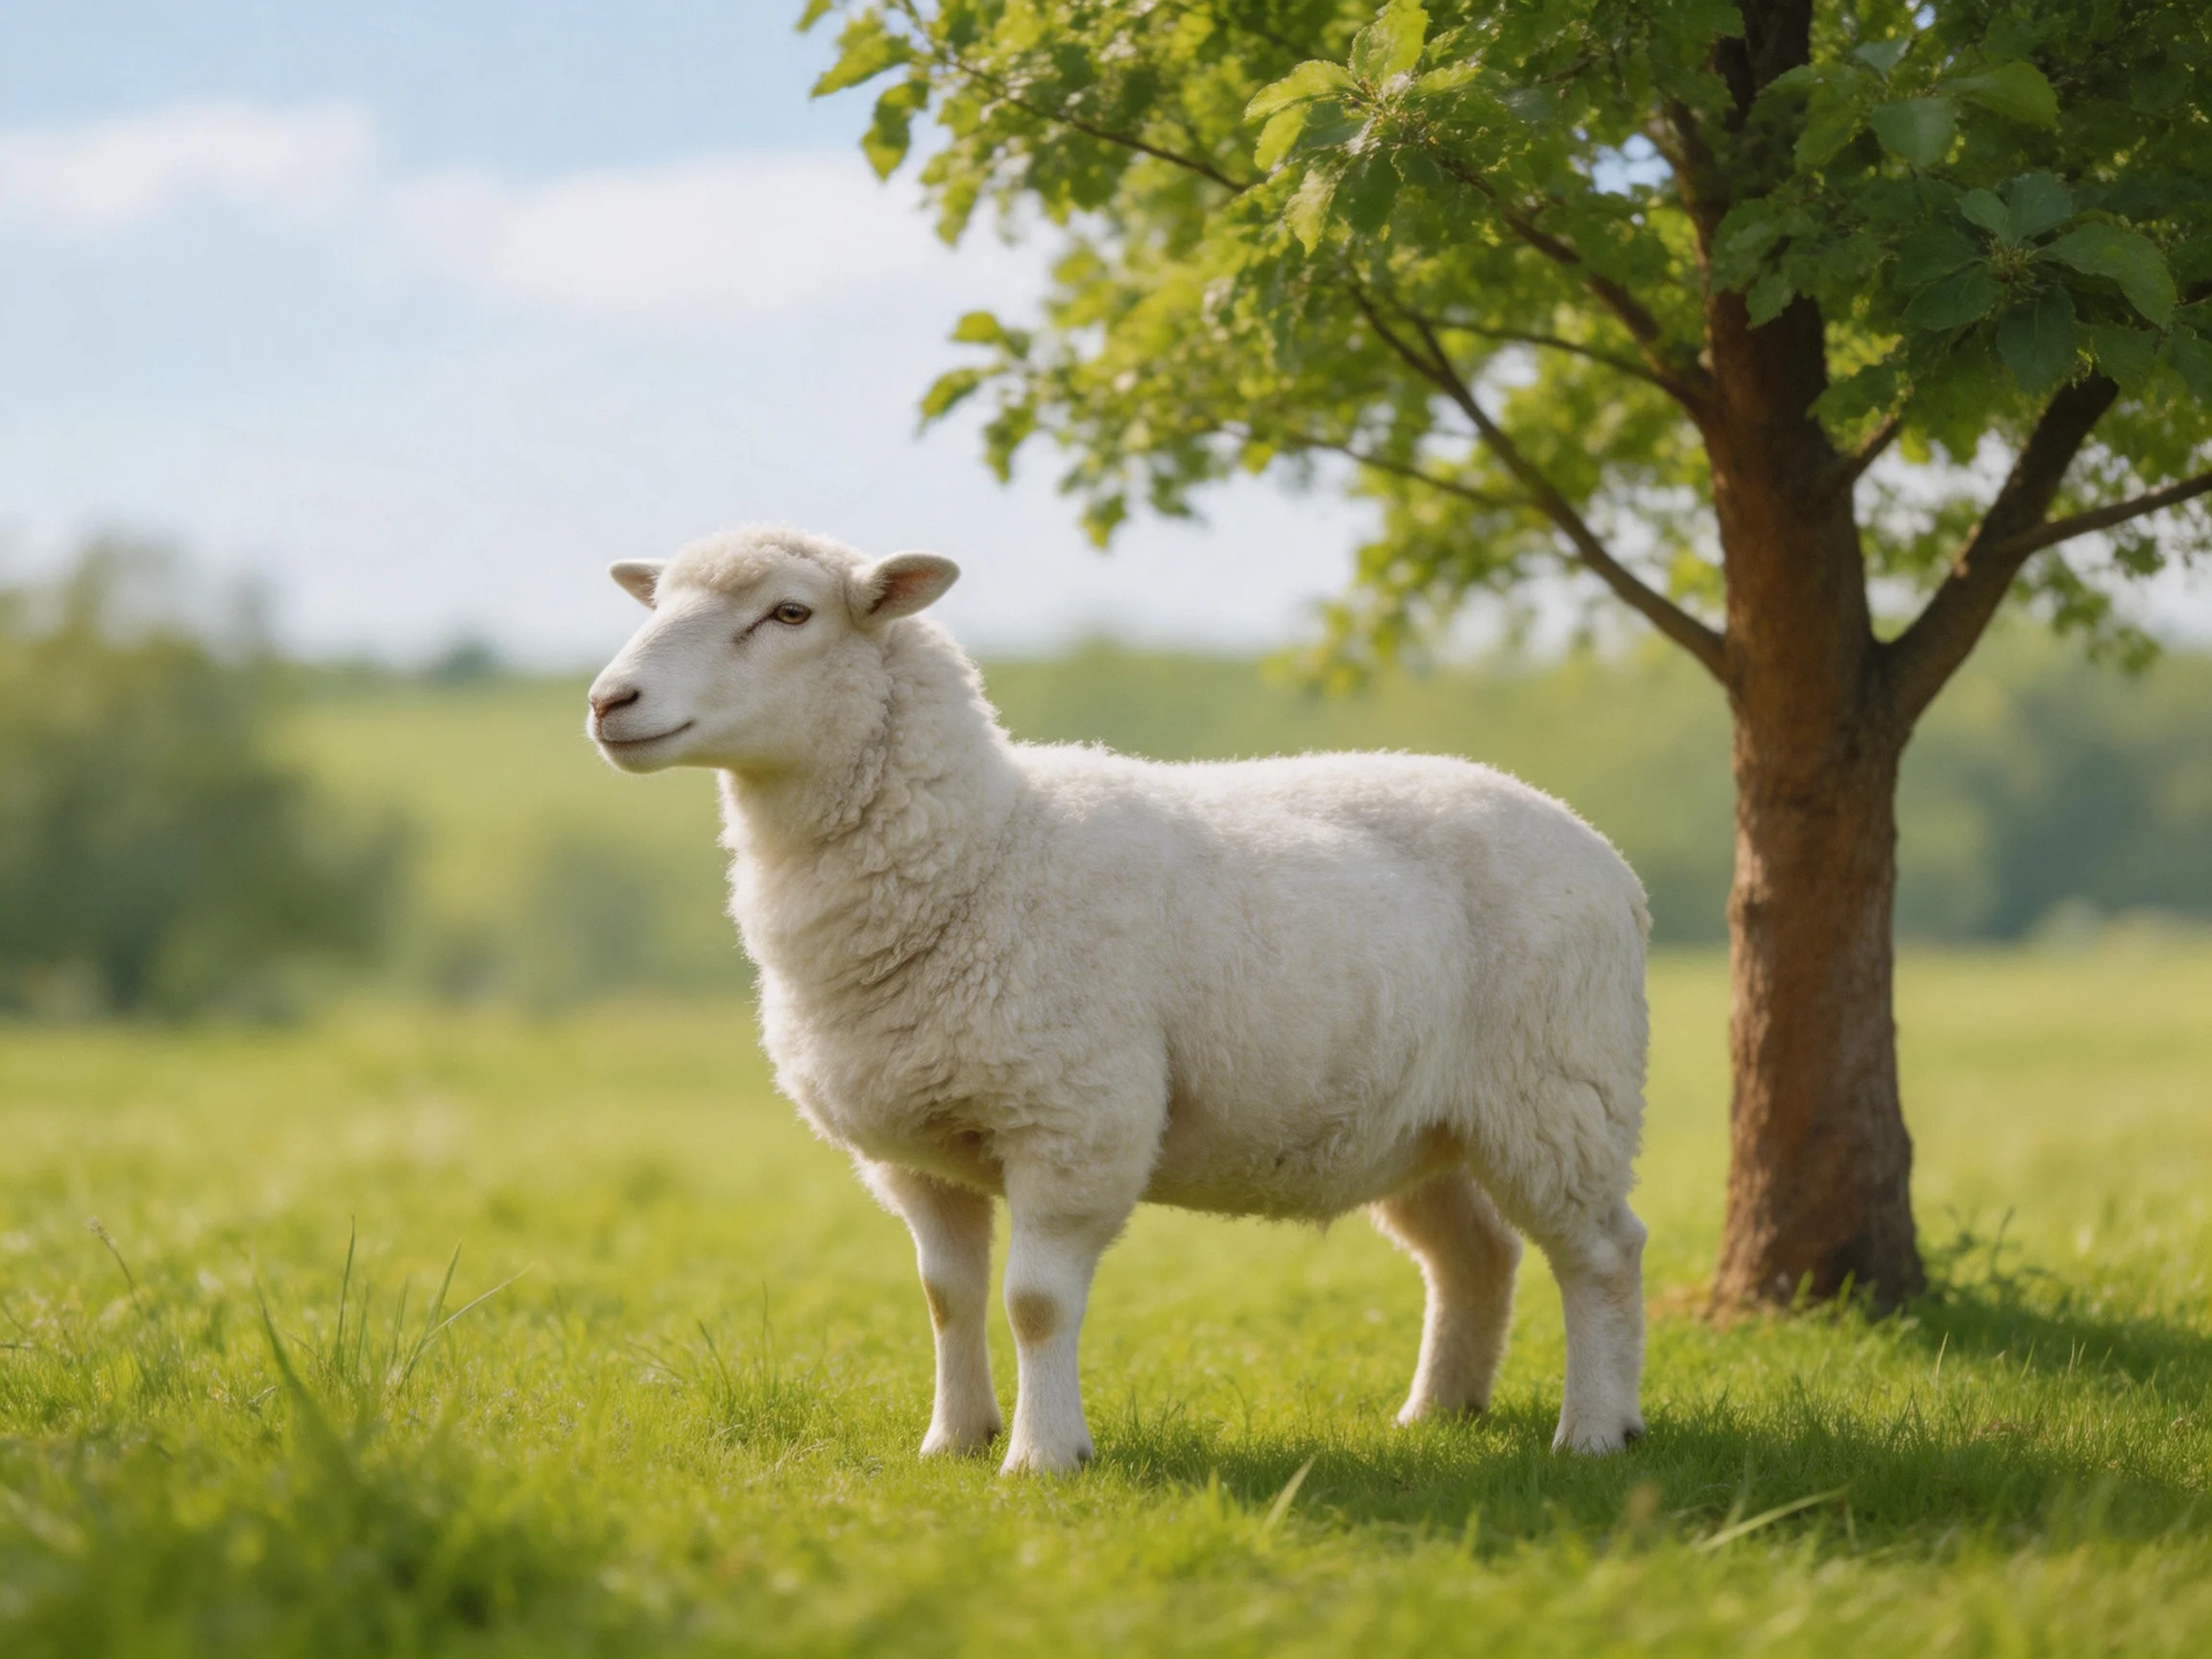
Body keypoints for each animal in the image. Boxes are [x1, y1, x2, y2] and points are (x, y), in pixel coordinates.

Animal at [588, 524, 1651, 1474]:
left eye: (790, 613)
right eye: (657, 602)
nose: (607, 701)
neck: (984, 847)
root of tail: (1601, 850)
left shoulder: (1074, 1119)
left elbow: (1035, 1303)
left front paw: (1043, 1456)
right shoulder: (916, 1149)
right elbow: (945, 1295)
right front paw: (953, 1441)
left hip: (1560, 1087)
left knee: (1601, 1252)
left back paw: (1596, 1431)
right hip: (1422, 1122)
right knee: (1474, 1255)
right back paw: (1437, 1414)